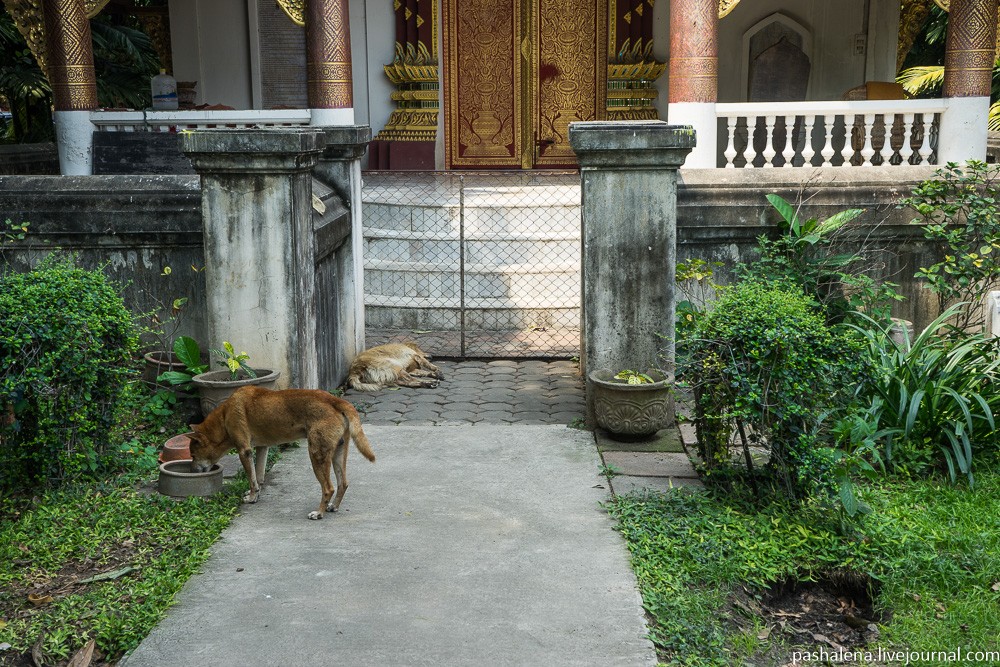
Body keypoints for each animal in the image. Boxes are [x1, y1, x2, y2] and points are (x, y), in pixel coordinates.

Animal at [188, 386, 376, 520]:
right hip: (338, 453)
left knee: (328, 488)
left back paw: (319, 513)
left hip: (316, 455)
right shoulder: (262, 448)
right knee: (343, 483)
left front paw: (251, 497)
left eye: (193, 456)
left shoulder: (244, 451)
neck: (224, 416)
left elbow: (252, 479)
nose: (191, 471)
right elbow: (259, 477)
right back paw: (333, 507)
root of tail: (335, 400)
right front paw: (256, 495)